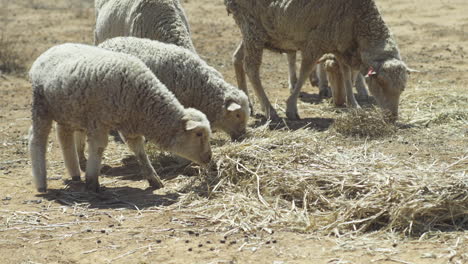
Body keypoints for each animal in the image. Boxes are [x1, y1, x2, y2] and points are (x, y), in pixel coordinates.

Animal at [28, 42, 211, 192]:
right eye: (198, 134)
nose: (209, 158)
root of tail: (48, 51)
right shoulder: (98, 122)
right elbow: (99, 147)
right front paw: (92, 182)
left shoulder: (130, 125)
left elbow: (139, 151)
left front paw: (154, 179)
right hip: (41, 105)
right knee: (36, 139)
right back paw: (42, 183)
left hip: (67, 110)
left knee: (64, 137)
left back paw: (75, 174)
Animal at [227, 0, 416, 120]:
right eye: (381, 84)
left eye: (403, 88)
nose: (392, 117)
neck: (359, 19)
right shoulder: (315, 43)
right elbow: (304, 73)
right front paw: (291, 108)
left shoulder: (340, 46)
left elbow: (347, 75)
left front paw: (353, 105)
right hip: (252, 27)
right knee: (251, 68)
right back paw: (270, 110)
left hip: (255, 32)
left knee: (237, 58)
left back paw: (248, 104)